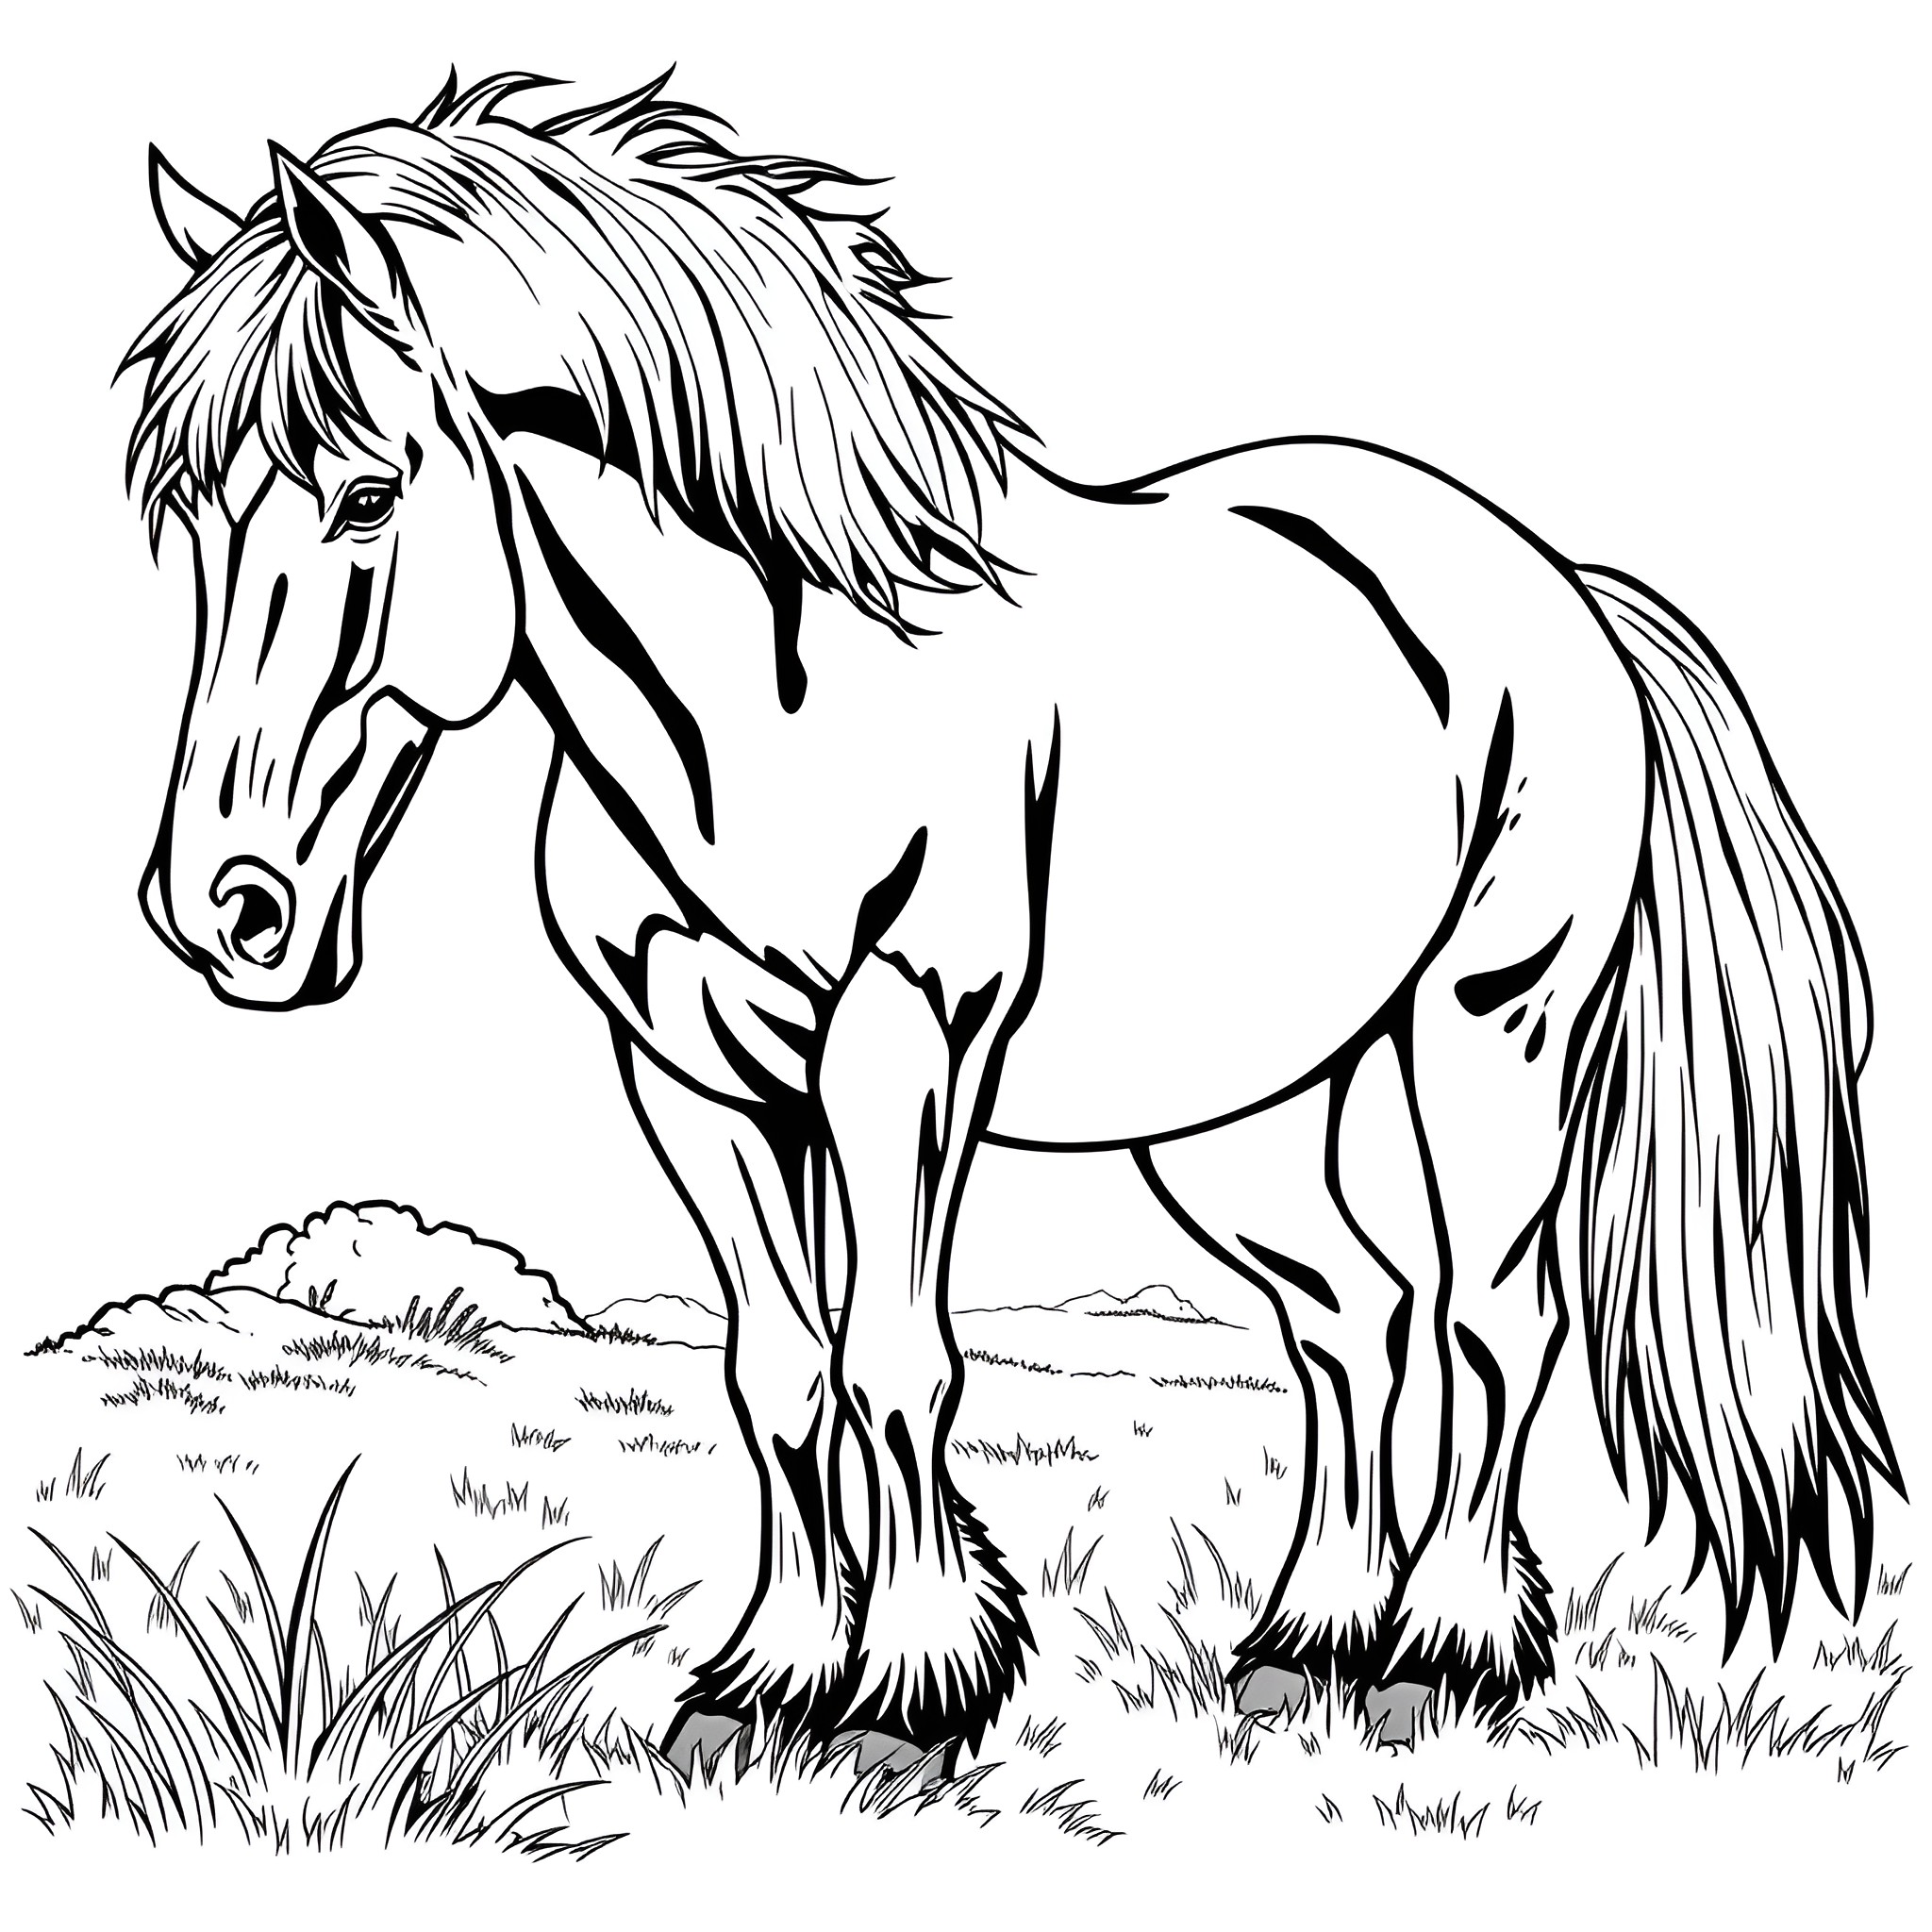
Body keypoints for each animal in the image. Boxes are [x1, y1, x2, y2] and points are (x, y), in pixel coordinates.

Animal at [123, 70, 1899, 1775]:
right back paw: (1303, 1647)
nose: (224, 911)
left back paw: (1441, 1658)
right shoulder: (690, 1078)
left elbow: (894, 1361)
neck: (760, 715)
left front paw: (905, 1701)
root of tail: (1557, 584)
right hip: (1238, 1116)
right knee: (1351, 1322)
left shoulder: (905, 1036)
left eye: (366, 493)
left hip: (1489, 1032)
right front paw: (762, 1686)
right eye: (198, 515)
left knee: (1486, 1320)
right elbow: (778, 1371)